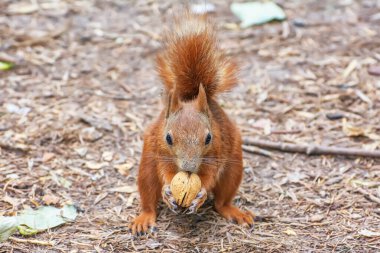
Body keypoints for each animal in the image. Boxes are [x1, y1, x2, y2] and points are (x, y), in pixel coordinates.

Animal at [131, 12, 255, 235]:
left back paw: (234, 212)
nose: (188, 167)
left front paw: (201, 194)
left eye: (208, 138)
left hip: (234, 168)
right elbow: (165, 172)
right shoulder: (160, 150)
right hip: (146, 169)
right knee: (148, 197)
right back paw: (144, 217)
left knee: (221, 202)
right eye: (168, 138)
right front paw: (167, 191)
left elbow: (209, 176)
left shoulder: (216, 151)